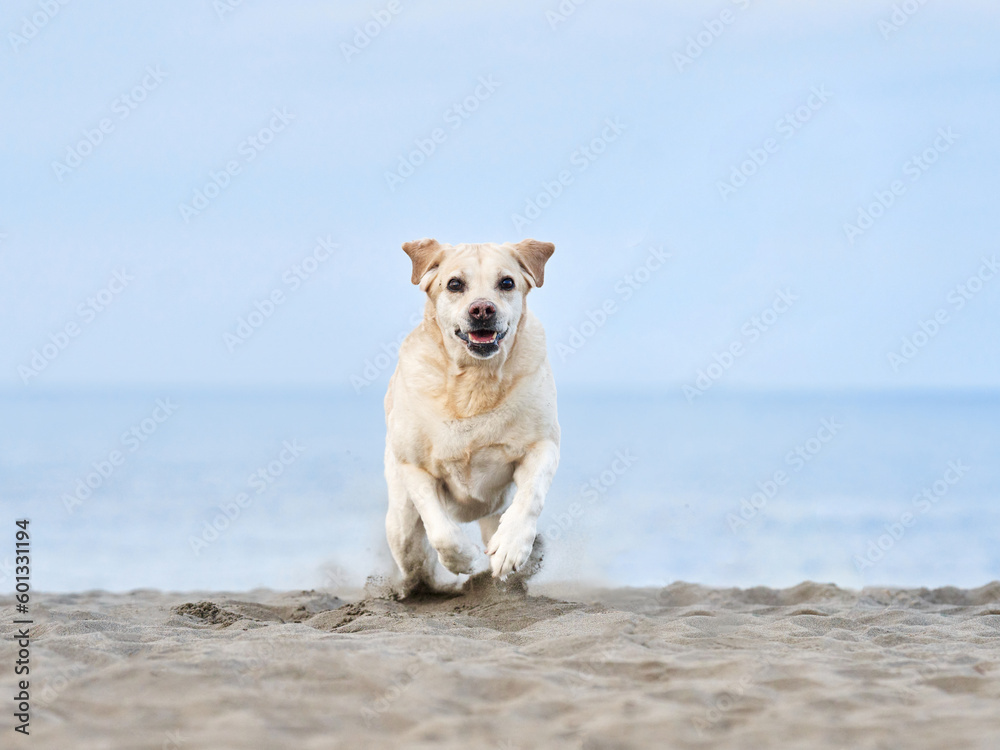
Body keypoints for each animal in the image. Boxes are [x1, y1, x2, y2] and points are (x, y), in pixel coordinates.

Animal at [384, 239, 560, 592]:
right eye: (455, 284)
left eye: (506, 282)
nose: (482, 309)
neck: (475, 382)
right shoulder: (414, 466)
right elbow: (440, 529)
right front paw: (463, 559)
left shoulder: (544, 445)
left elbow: (531, 495)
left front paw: (512, 547)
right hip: (399, 520)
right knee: (414, 553)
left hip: (494, 511)